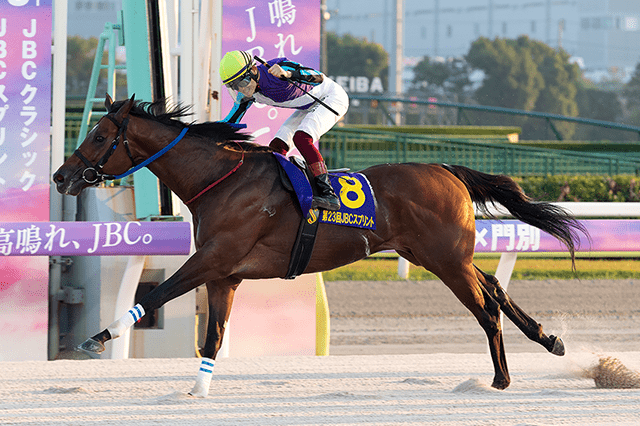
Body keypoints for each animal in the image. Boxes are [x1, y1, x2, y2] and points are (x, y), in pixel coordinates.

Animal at [52, 95, 588, 398]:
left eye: (98, 135)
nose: (60, 176)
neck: (221, 179)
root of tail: (446, 168)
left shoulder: (212, 259)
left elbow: (157, 296)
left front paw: (95, 339)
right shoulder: (226, 274)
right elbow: (214, 336)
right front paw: (196, 391)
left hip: (446, 261)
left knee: (487, 309)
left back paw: (501, 379)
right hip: (437, 256)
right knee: (495, 284)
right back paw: (550, 339)